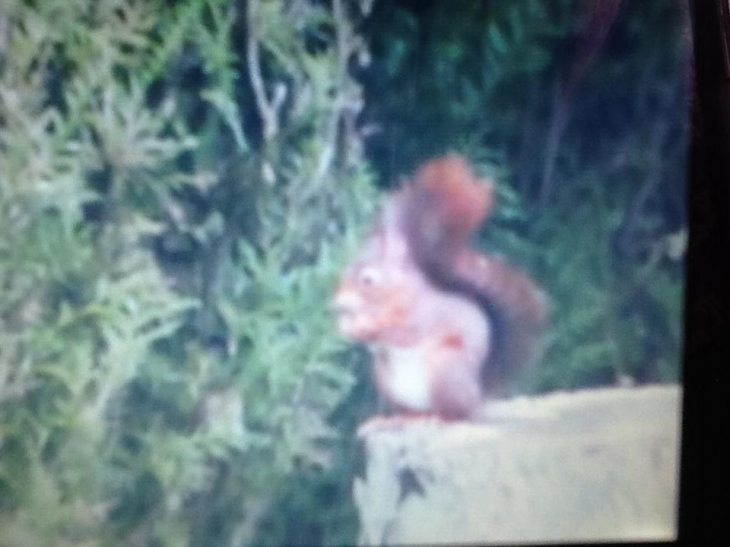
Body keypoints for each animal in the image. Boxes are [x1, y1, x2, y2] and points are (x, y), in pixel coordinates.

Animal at [332, 156, 544, 422]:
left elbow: (402, 332)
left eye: (368, 281)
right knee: (412, 410)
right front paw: (346, 326)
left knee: (454, 414)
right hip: (384, 376)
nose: (337, 304)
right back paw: (396, 419)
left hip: (446, 370)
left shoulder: (422, 318)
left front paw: (365, 325)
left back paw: (434, 418)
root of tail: (477, 396)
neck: (396, 297)